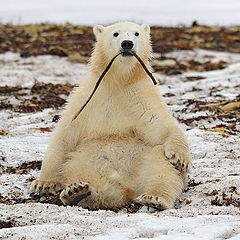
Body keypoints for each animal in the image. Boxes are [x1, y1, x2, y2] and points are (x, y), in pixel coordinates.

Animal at [30, 22, 191, 210]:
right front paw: (43, 184)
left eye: (136, 33)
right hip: (84, 163)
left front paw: (181, 159)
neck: (118, 80)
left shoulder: (141, 96)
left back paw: (154, 197)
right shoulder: (88, 98)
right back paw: (79, 192)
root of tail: (127, 189)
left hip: (146, 160)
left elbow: (160, 124)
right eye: (116, 34)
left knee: (163, 169)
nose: (127, 44)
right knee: (89, 180)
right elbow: (66, 133)